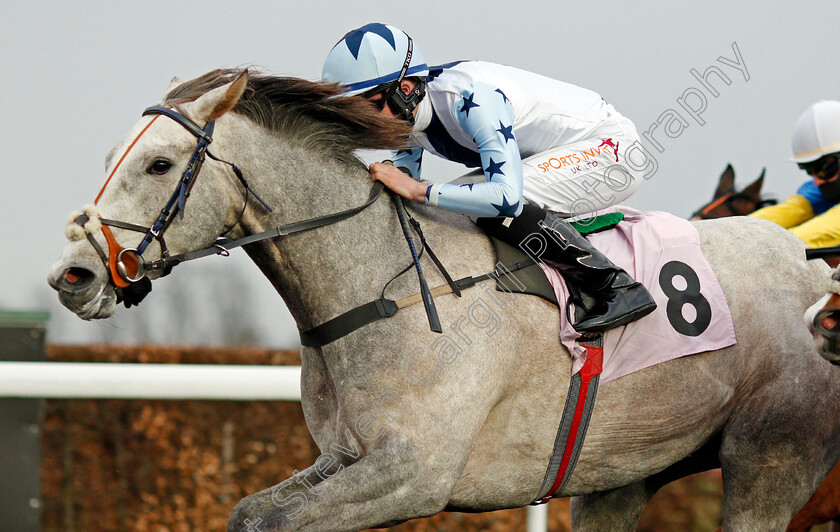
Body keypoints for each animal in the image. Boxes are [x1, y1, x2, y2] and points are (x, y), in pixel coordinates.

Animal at [50, 68, 840, 528]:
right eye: (113, 160)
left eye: (159, 164)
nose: (73, 275)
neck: (382, 289)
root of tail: (820, 279)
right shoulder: (346, 457)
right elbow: (250, 513)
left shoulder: (415, 473)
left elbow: (275, 520)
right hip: (627, 469)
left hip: (772, 456)